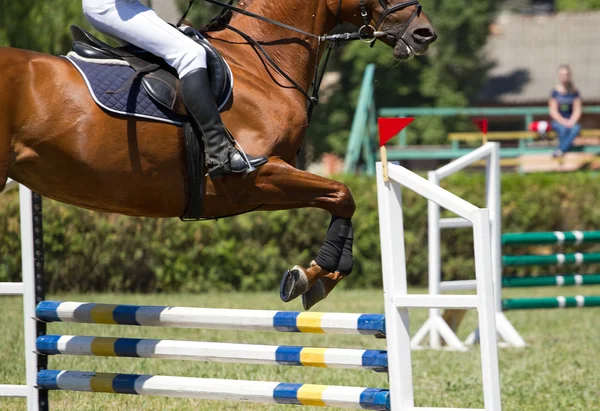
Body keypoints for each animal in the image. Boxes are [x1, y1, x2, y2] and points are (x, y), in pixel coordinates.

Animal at [0, 0, 434, 308]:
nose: (424, 33)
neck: (260, 64)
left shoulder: (257, 192)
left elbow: (339, 198)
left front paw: (316, 277)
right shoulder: (256, 177)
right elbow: (343, 195)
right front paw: (316, 275)